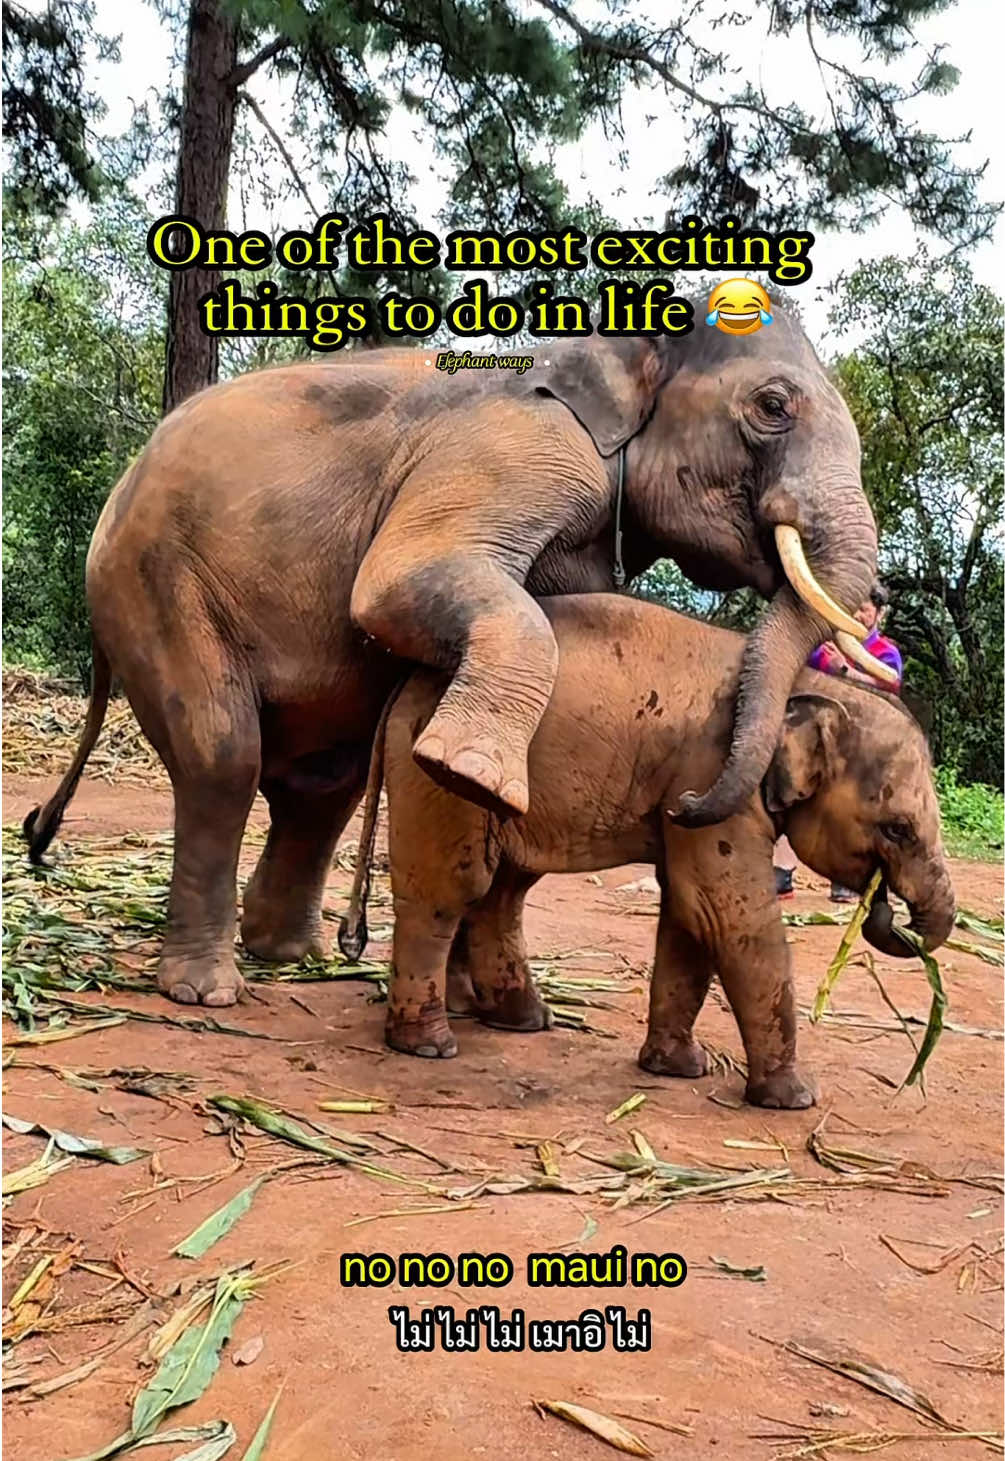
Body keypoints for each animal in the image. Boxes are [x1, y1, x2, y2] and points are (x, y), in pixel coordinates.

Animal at [26, 306, 894, 1010]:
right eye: (772, 406)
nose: (683, 805)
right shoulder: (524, 452)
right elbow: (397, 583)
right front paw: (467, 771)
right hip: (154, 580)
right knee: (223, 754)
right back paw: (207, 990)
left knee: (324, 783)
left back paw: (294, 954)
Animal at [346, 594, 954, 1109]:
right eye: (898, 829)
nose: (883, 906)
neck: (799, 684)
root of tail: (407, 684)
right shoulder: (709, 773)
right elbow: (727, 914)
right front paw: (793, 1099)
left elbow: (690, 917)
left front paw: (677, 1068)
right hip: (441, 778)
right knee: (452, 888)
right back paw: (429, 1044)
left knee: (503, 890)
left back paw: (524, 1020)